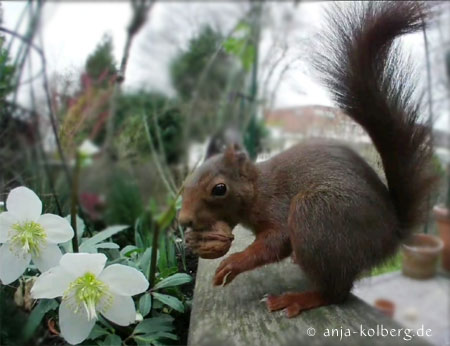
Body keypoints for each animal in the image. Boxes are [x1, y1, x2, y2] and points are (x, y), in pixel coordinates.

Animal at [178, 1, 436, 318]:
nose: (183, 220)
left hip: (316, 215)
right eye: (186, 183)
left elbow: (276, 242)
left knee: (336, 292)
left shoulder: (277, 206)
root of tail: (391, 235)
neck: (258, 189)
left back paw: (298, 298)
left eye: (219, 189)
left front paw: (234, 262)